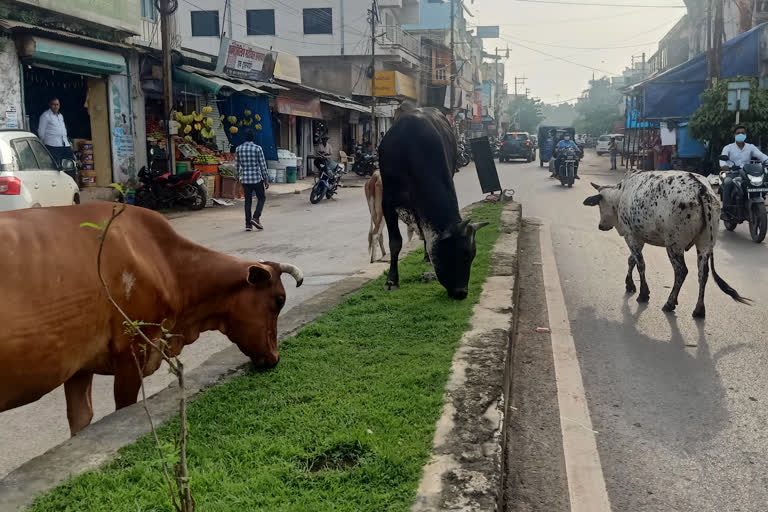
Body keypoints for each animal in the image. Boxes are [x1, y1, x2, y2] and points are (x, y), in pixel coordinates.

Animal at [378, 108, 486, 300]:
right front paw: (391, 281)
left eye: (472, 256)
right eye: (463, 254)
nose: (462, 293)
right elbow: (395, 242)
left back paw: (427, 257)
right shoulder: (387, 202)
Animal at [584, 170, 748, 318]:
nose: (601, 226)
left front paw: (643, 293)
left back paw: (670, 303)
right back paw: (699, 309)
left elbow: (640, 264)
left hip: (674, 245)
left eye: (599, 205)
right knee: (703, 274)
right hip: (705, 244)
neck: (621, 193)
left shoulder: (631, 236)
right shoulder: (638, 237)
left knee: (681, 271)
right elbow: (632, 260)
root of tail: (701, 189)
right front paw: (630, 284)